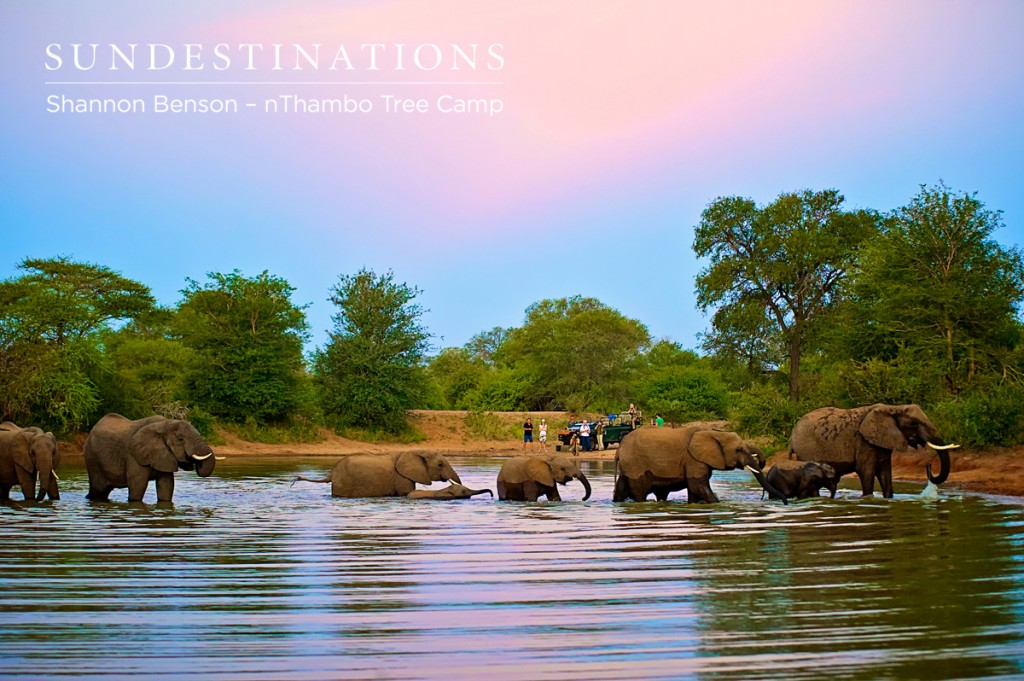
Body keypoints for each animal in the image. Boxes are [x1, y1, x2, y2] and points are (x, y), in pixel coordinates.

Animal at [83, 411, 218, 501]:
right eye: (180, 439)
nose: (196, 464)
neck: (165, 424)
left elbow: (166, 486)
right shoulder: (134, 455)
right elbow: (138, 486)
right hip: (91, 457)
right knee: (97, 490)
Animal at [292, 448, 460, 497]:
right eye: (440, 464)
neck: (417, 451)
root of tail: (332, 473)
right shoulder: (401, 477)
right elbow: (407, 493)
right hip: (344, 483)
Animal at [610, 428, 786, 501]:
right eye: (738, 449)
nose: (785, 502)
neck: (714, 432)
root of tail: (619, 449)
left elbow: (694, 489)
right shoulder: (693, 459)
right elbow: (698, 485)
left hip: (628, 466)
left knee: (621, 489)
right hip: (635, 464)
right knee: (640, 492)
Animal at [786, 401, 954, 497]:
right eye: (914, 423)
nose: (929, 465)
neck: (893, 408)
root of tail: (791, 437)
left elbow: (885, 474)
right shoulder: (864, 442)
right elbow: (865, 472)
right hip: (806, 451)